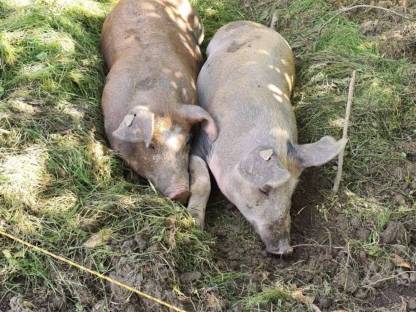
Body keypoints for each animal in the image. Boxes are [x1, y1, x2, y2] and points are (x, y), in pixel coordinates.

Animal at [187, 21, 346, 256]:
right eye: (264, 189)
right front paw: (194, 225)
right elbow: (202, 182)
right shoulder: (203, 138)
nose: (285, 250)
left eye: (292, 192)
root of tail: (257, 25)